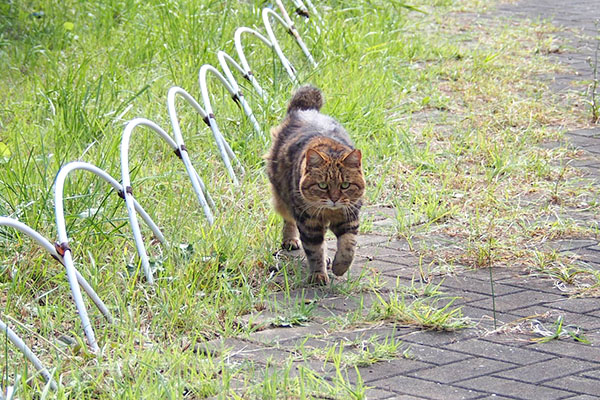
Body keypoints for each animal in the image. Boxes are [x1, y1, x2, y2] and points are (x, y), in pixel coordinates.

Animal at [268, 85, 366, 284]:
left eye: (345, 185)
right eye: (322, 185)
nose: (334, 199)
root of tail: (302, 110)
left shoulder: (349, 218)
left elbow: (348, 247)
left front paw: (339, 267)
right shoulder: (309, 222)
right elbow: (315, 251)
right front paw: (318, 275)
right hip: (284, 198)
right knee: (288, 220)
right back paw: (290, 240)